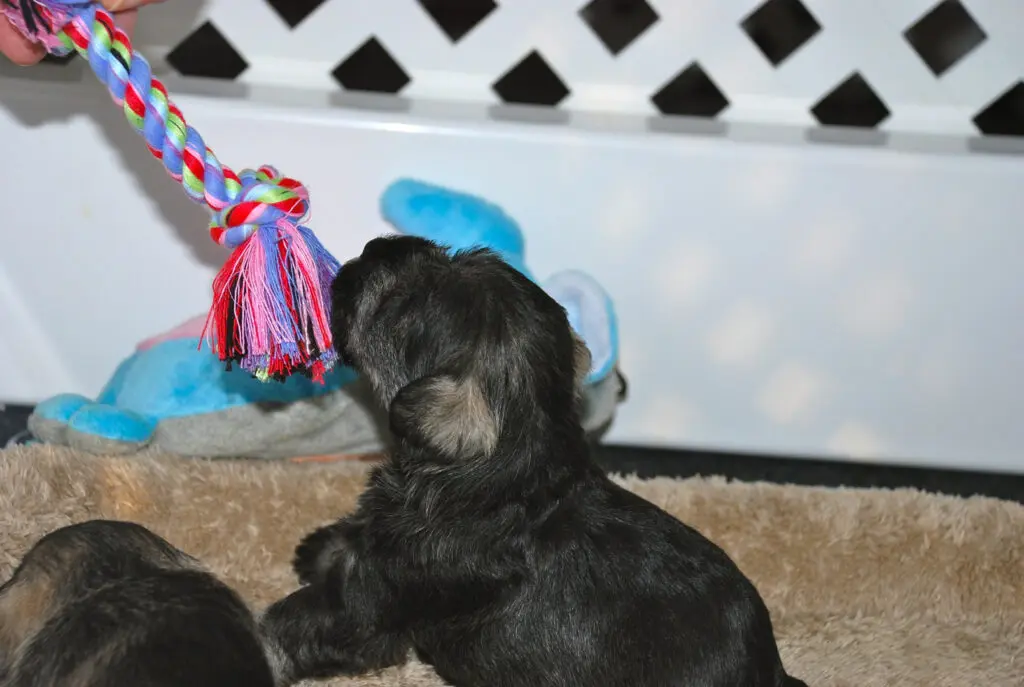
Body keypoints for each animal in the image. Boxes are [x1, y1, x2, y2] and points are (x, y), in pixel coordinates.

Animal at [258, 237, 806, 687]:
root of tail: (771, 672)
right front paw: (321, 547)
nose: (374, 246)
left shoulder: (362, 611)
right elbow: (356, 537)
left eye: (395, 302)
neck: (493, 473)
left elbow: (286, 627)